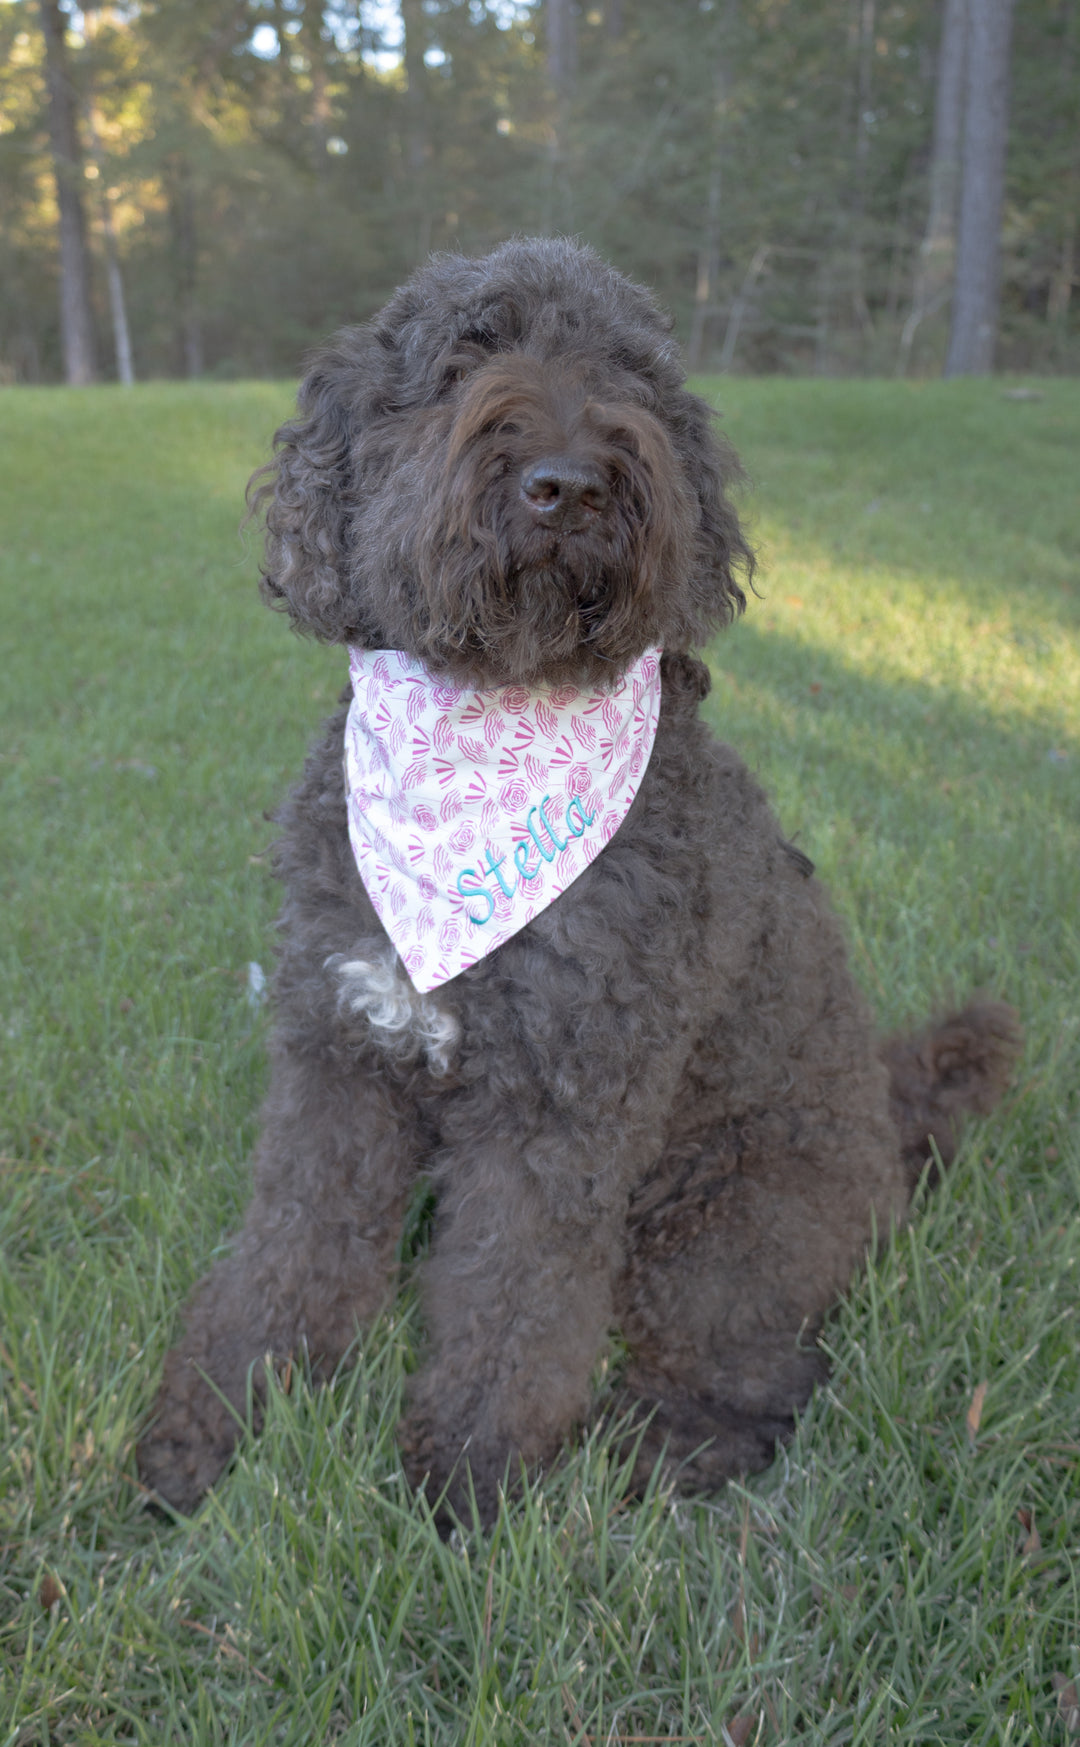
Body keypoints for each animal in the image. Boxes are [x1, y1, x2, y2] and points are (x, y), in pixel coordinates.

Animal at [136, 239, 1020, 1523]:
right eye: (464, 356)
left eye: (630, 373)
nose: (569, 483)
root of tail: (888, 1124)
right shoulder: (340, 1056)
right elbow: (293, 1246)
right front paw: (213, 1421)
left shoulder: (560, 1105)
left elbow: (514, 1307)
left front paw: (466, 1485)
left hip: (723, 1232)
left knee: (767, 1366)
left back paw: (664, 1450)